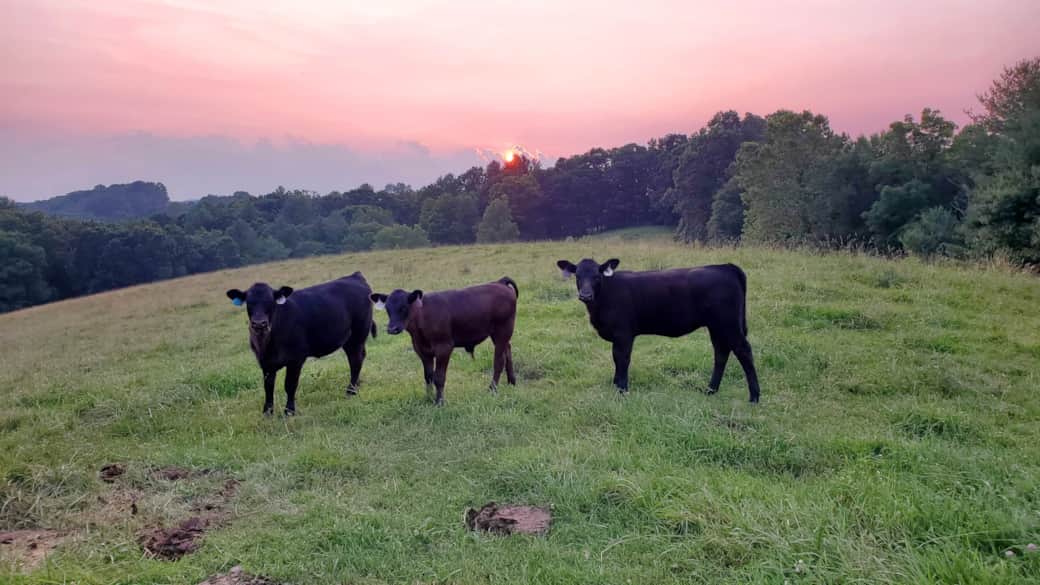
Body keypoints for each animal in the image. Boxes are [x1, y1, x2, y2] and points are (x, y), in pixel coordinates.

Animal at [226, 271, 376, 416]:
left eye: (271, 301)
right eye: (249, 302)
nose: (259, 324)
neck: (269, 343)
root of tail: (355, 276)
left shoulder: (295, 359)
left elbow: (290, 385)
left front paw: (289, 411)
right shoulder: (265, 363)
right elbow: (268, 387)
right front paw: (267, 412)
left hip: (358, 335)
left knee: (356, 360)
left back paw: (351, 390)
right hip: (349, 340)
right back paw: (357, 384)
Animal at [370, 277, 519, 406]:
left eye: (404, 307)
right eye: (387, 309)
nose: (392, 329)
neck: (422, 318)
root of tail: (499, 282)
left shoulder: (444, 347)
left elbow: (439, 377)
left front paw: (439, 402)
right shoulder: (422, 350)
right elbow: (428, 376)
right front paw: (429, 398)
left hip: (503, 330)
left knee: (499, 361)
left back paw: (492, 389)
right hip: (499, 334)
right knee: (508, 351)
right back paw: (512, 382)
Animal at [556, 258, 760, 402]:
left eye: (597, 276)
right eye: (577, 276)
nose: (585, 295)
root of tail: (724, 266)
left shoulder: (623, 334)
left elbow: (622, 359)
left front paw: (622, 391)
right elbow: (616, 360)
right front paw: (616, 386)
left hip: (728, 324)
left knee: (743, 351)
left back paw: (754, 397)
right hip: (716, 326)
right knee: (721, 353)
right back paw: (710, 390)